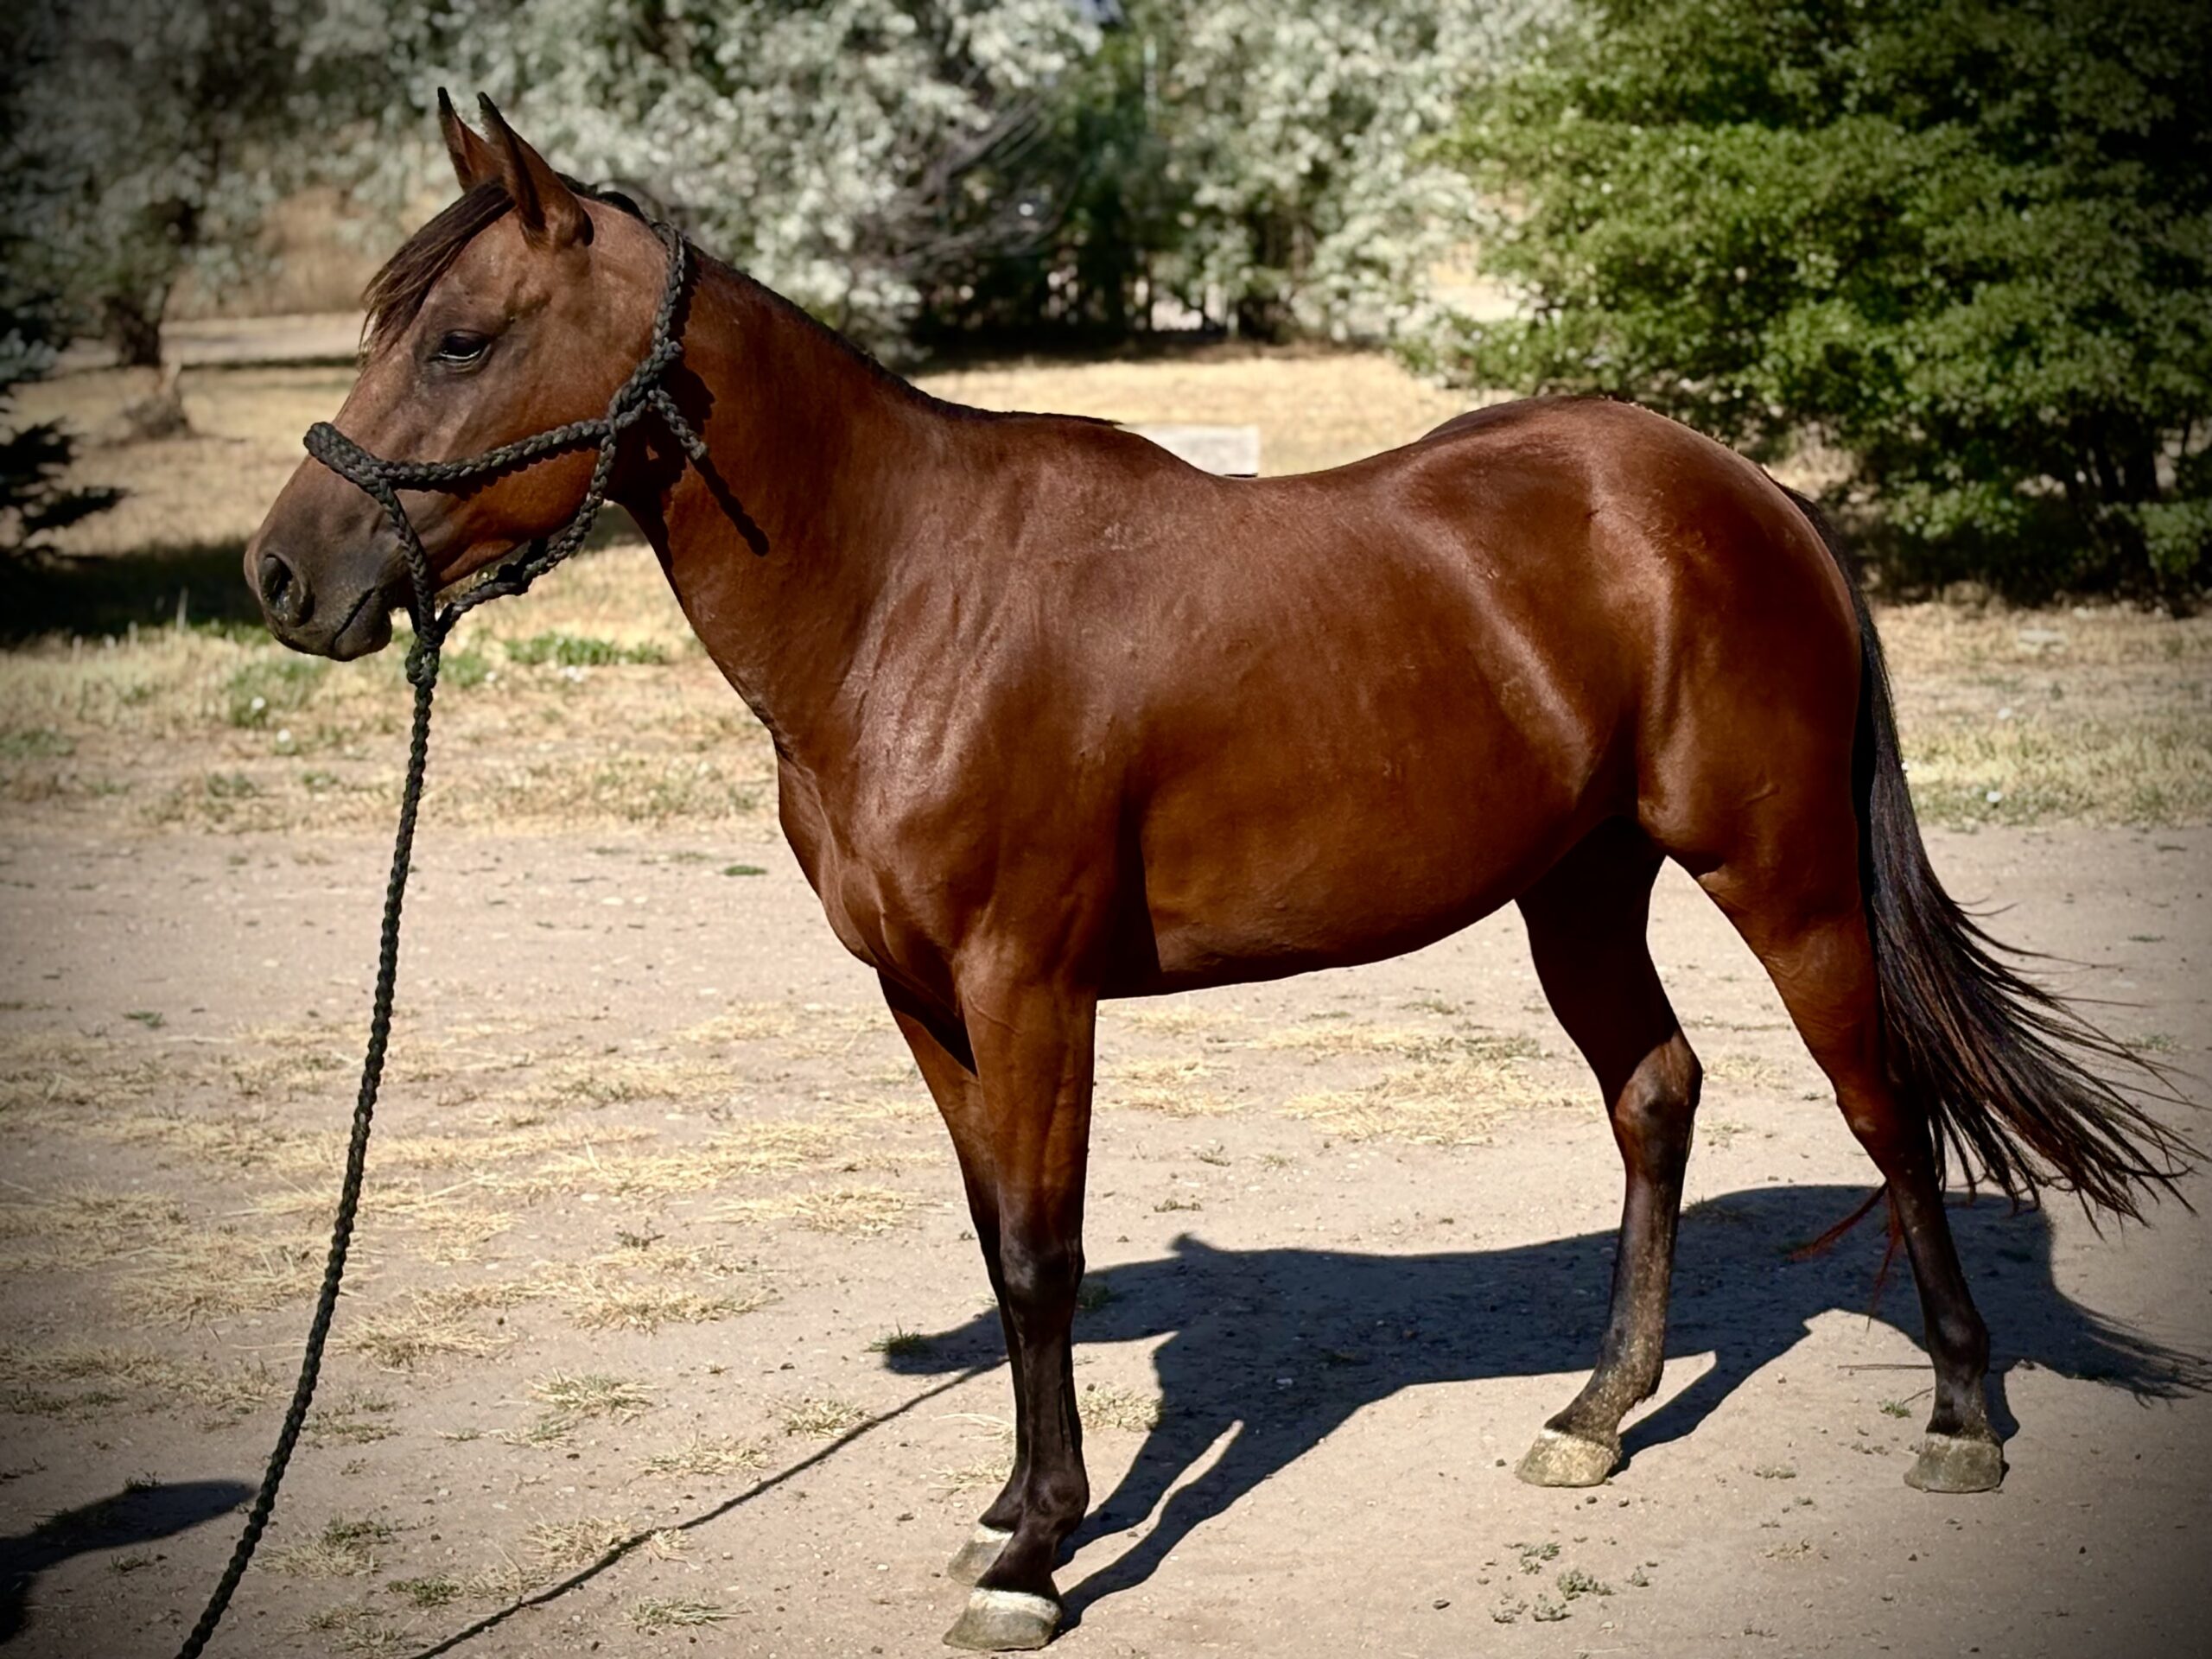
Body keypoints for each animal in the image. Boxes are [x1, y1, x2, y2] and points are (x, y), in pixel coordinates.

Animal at [244, 97, 2189, 1652]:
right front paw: (1015, 1506)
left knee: (1882, 1105)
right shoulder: (922, 1001)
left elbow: (1043, 1255)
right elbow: (997, 1240)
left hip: (1773, 872)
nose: (284, 576)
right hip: (1578, 886)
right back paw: (1596, 1415)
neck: (904, 595)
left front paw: (1036, 1560)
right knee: (1654, 1090)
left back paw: (1959, 1416)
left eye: (460, 339)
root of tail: (1749, 495)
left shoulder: (1030, 988)